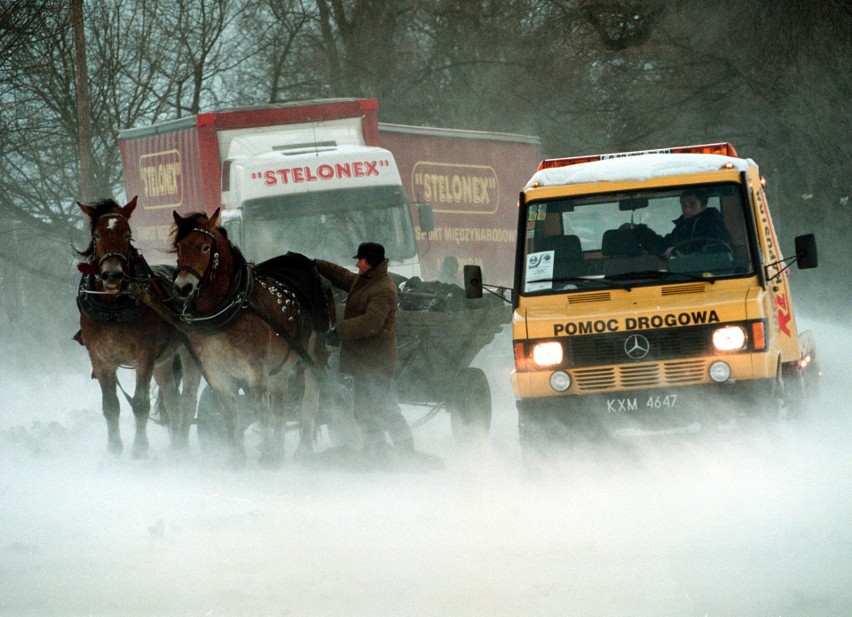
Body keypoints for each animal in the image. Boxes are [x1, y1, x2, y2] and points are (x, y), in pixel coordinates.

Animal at [76, 197, 201, 458]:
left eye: (127, 234)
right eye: (96, 235)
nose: (112, 275)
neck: (113, 309)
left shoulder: (144, 357)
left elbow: (140, 404)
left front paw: (139, 451)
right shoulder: (101, 359)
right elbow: (110, 406)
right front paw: (114, 450)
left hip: (187, 354)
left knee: (188, 399)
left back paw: (182, 445)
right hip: (163, 362)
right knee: (172, 399)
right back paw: (176, 444)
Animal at [171, 209, 332, 464]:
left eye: (205, 247)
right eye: (179, 246)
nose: (183, 287)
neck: (226, 312)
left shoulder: (255, 370)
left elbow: (261, 413)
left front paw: (266, 457)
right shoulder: (216, 373)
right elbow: (231, 416)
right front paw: (237, 459)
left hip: (313, 354)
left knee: (310, 400)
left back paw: (301, 450)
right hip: (279, 368)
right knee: (279, 408)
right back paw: (279, 451)